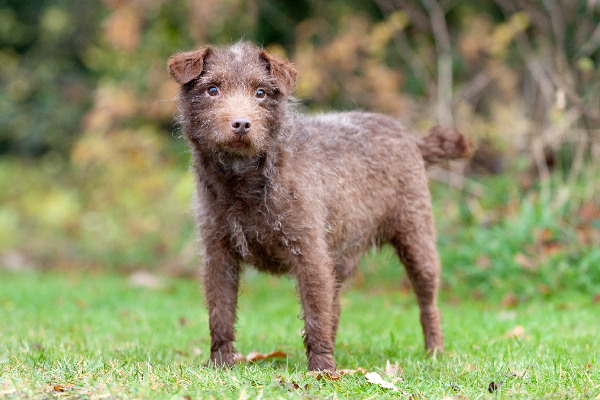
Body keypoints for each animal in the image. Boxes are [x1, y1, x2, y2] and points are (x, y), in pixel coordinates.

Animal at [166, 42, 472, 370]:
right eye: (212, 89)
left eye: (260, 92)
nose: (241, 124)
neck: (243, 182)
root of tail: (413, 141)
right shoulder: (218, 255)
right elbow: (221, 313)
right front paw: (220, 364)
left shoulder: (310, 252)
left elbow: (314, 314)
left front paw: (322, 369)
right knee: (334, 308)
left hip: (417, 241)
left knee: (428, 304)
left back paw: (435, 351)